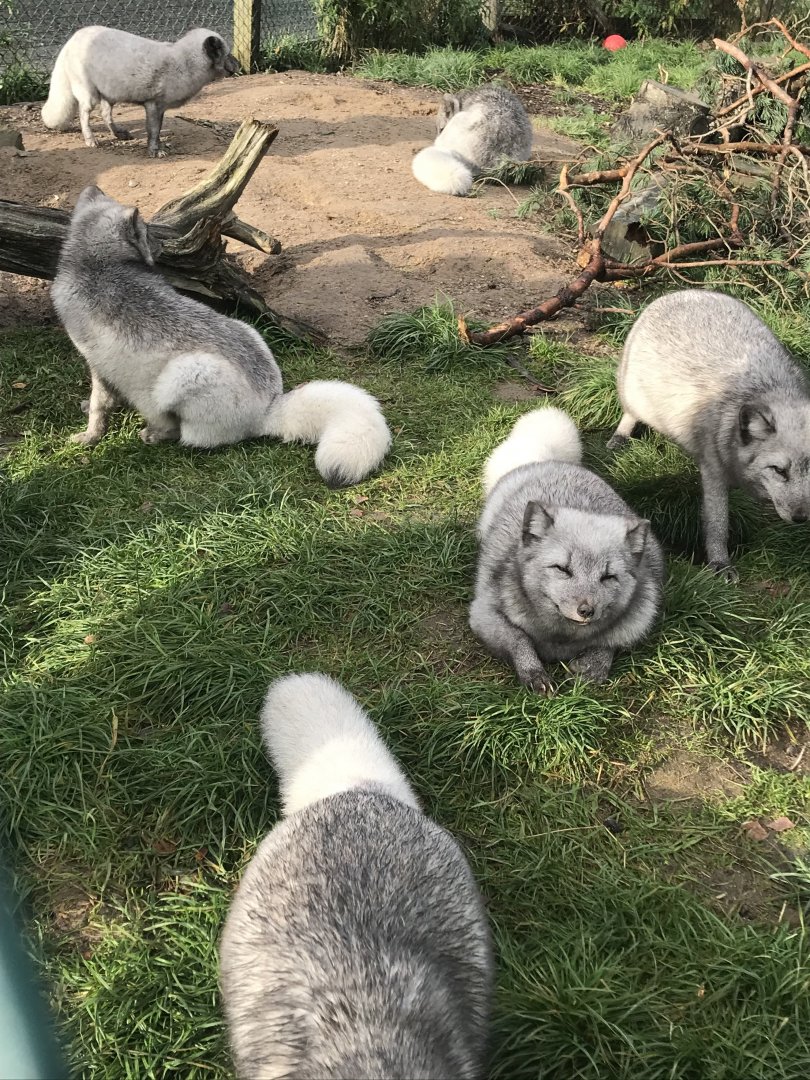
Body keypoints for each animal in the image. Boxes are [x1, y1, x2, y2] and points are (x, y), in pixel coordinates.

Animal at [41, 26, 238, 157]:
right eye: (227, 54)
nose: (238, 65)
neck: (184, 63)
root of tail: (72, 39)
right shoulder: (153, 104)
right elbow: (153, 130)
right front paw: (154, 151)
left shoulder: (160, 107)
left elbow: (157, 130)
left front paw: (159, 146)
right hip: (89, 95)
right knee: (84, 114)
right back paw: (90, 139)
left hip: (110, 94)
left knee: (105, 114)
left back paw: (119, 134)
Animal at [50, 186, 391, 486]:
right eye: (147, 232)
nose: (162, 251)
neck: (96, 264)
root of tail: (268, 409)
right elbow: (104, 400)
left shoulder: (96, 363)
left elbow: (101, 406)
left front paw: (89, 436)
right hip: (248, 329)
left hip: (182, 377)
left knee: (179, 432)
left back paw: (155, 434)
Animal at [471, 407, 665, 694]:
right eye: (562, 569)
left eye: (608, 576)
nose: (586, 611)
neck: (561, 640)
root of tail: (549, 460)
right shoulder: (483, 613)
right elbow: (518, 638)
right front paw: (534, 672)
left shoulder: (640, 616)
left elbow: (611, 642)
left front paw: (593, 668)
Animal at [607, 289, 810, 580]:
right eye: (779, 470)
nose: (801, 518)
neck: (770, 390)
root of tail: (679, 293)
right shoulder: (712, 470)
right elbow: (717, 524)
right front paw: (719, 563)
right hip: (631, 393)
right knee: (629, 413)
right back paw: (620, 437)